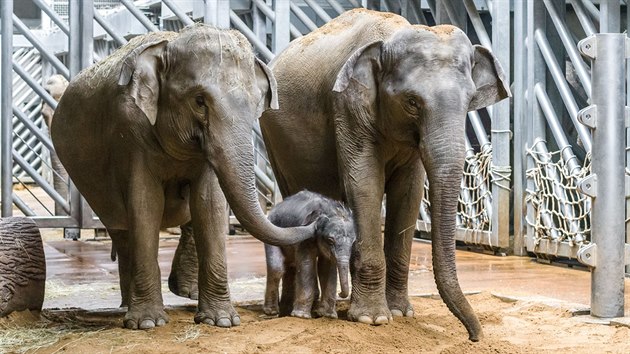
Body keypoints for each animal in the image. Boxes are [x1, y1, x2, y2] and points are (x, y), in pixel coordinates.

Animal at [51, 24, 316, 330]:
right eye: (199, 101)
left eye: (255, 105)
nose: (315, 220)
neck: (169, 46)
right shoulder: (130, 132)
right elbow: (146, 203)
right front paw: (147, 323)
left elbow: (209, 203)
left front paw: (221, 321)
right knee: (122, 230)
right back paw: (129, 306)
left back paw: (184, 292)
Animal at [264, 192, 358, 320]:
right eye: (330, 240)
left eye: (353, 242)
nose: (340, 294)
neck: (330, 209)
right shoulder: (305, 238)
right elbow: (307, 264)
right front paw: (301, 316)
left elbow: (326, 268)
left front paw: (328, 315)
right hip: (273, 230)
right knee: (277, 268)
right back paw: (272, 312)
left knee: (290, 267)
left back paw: (286, 311)